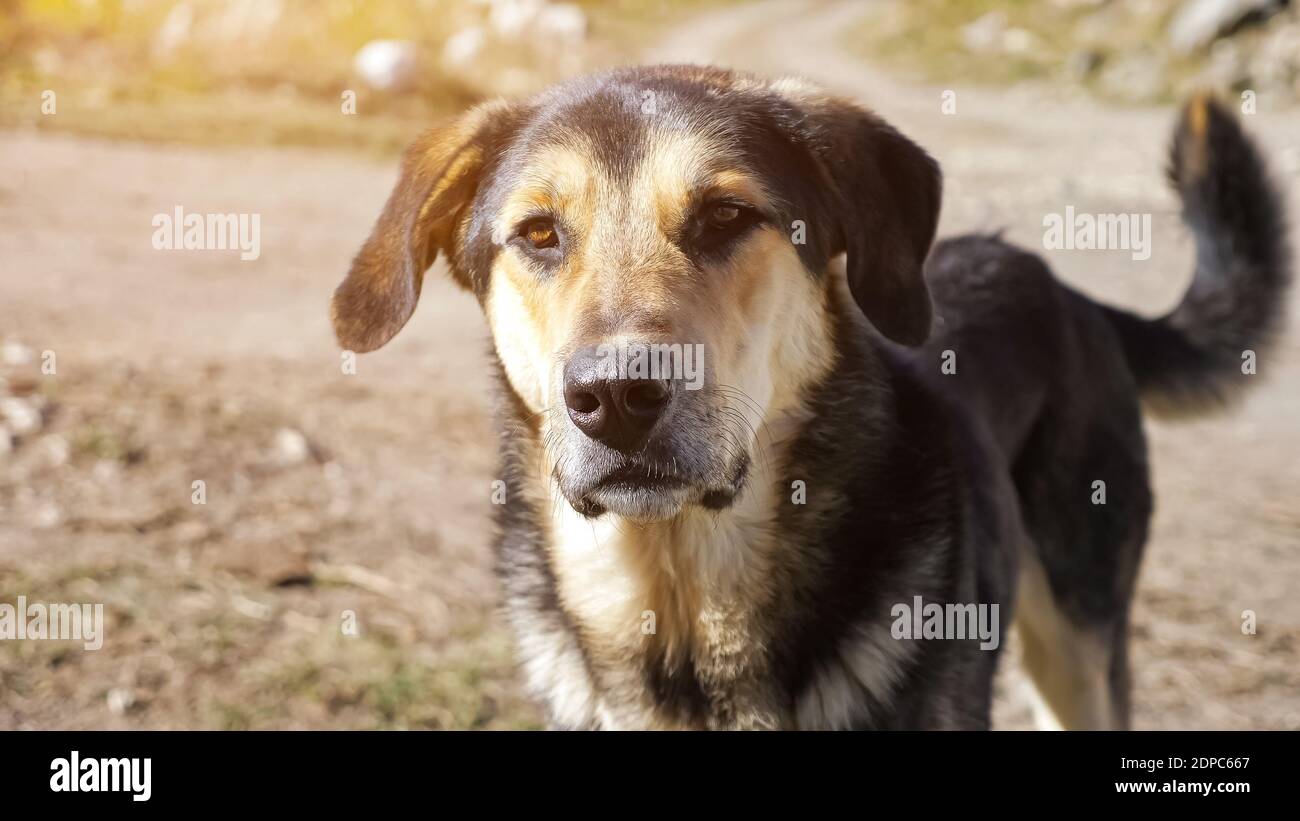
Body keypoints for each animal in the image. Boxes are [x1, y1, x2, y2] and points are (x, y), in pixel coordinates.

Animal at [327, 65, 1289, 732]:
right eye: (537, 234)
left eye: (724, 216)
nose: (617, 396)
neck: (683, 607)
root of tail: (1069, 289)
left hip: (1082, 637)